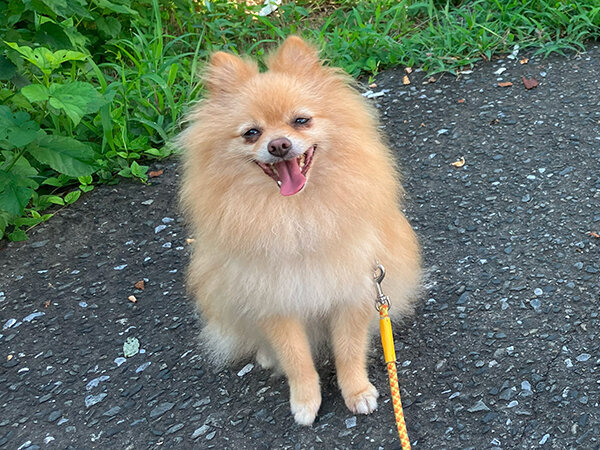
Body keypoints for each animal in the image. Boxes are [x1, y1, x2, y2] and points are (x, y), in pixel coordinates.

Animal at [178, 36, 422, 426]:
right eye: (252, 133)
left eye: (301, 121)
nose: (278, 144)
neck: (297, 216)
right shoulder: (275, 302)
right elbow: (296, 359)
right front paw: (306, 400)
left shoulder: (352, 288)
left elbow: (349, 350)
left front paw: (357, 391)